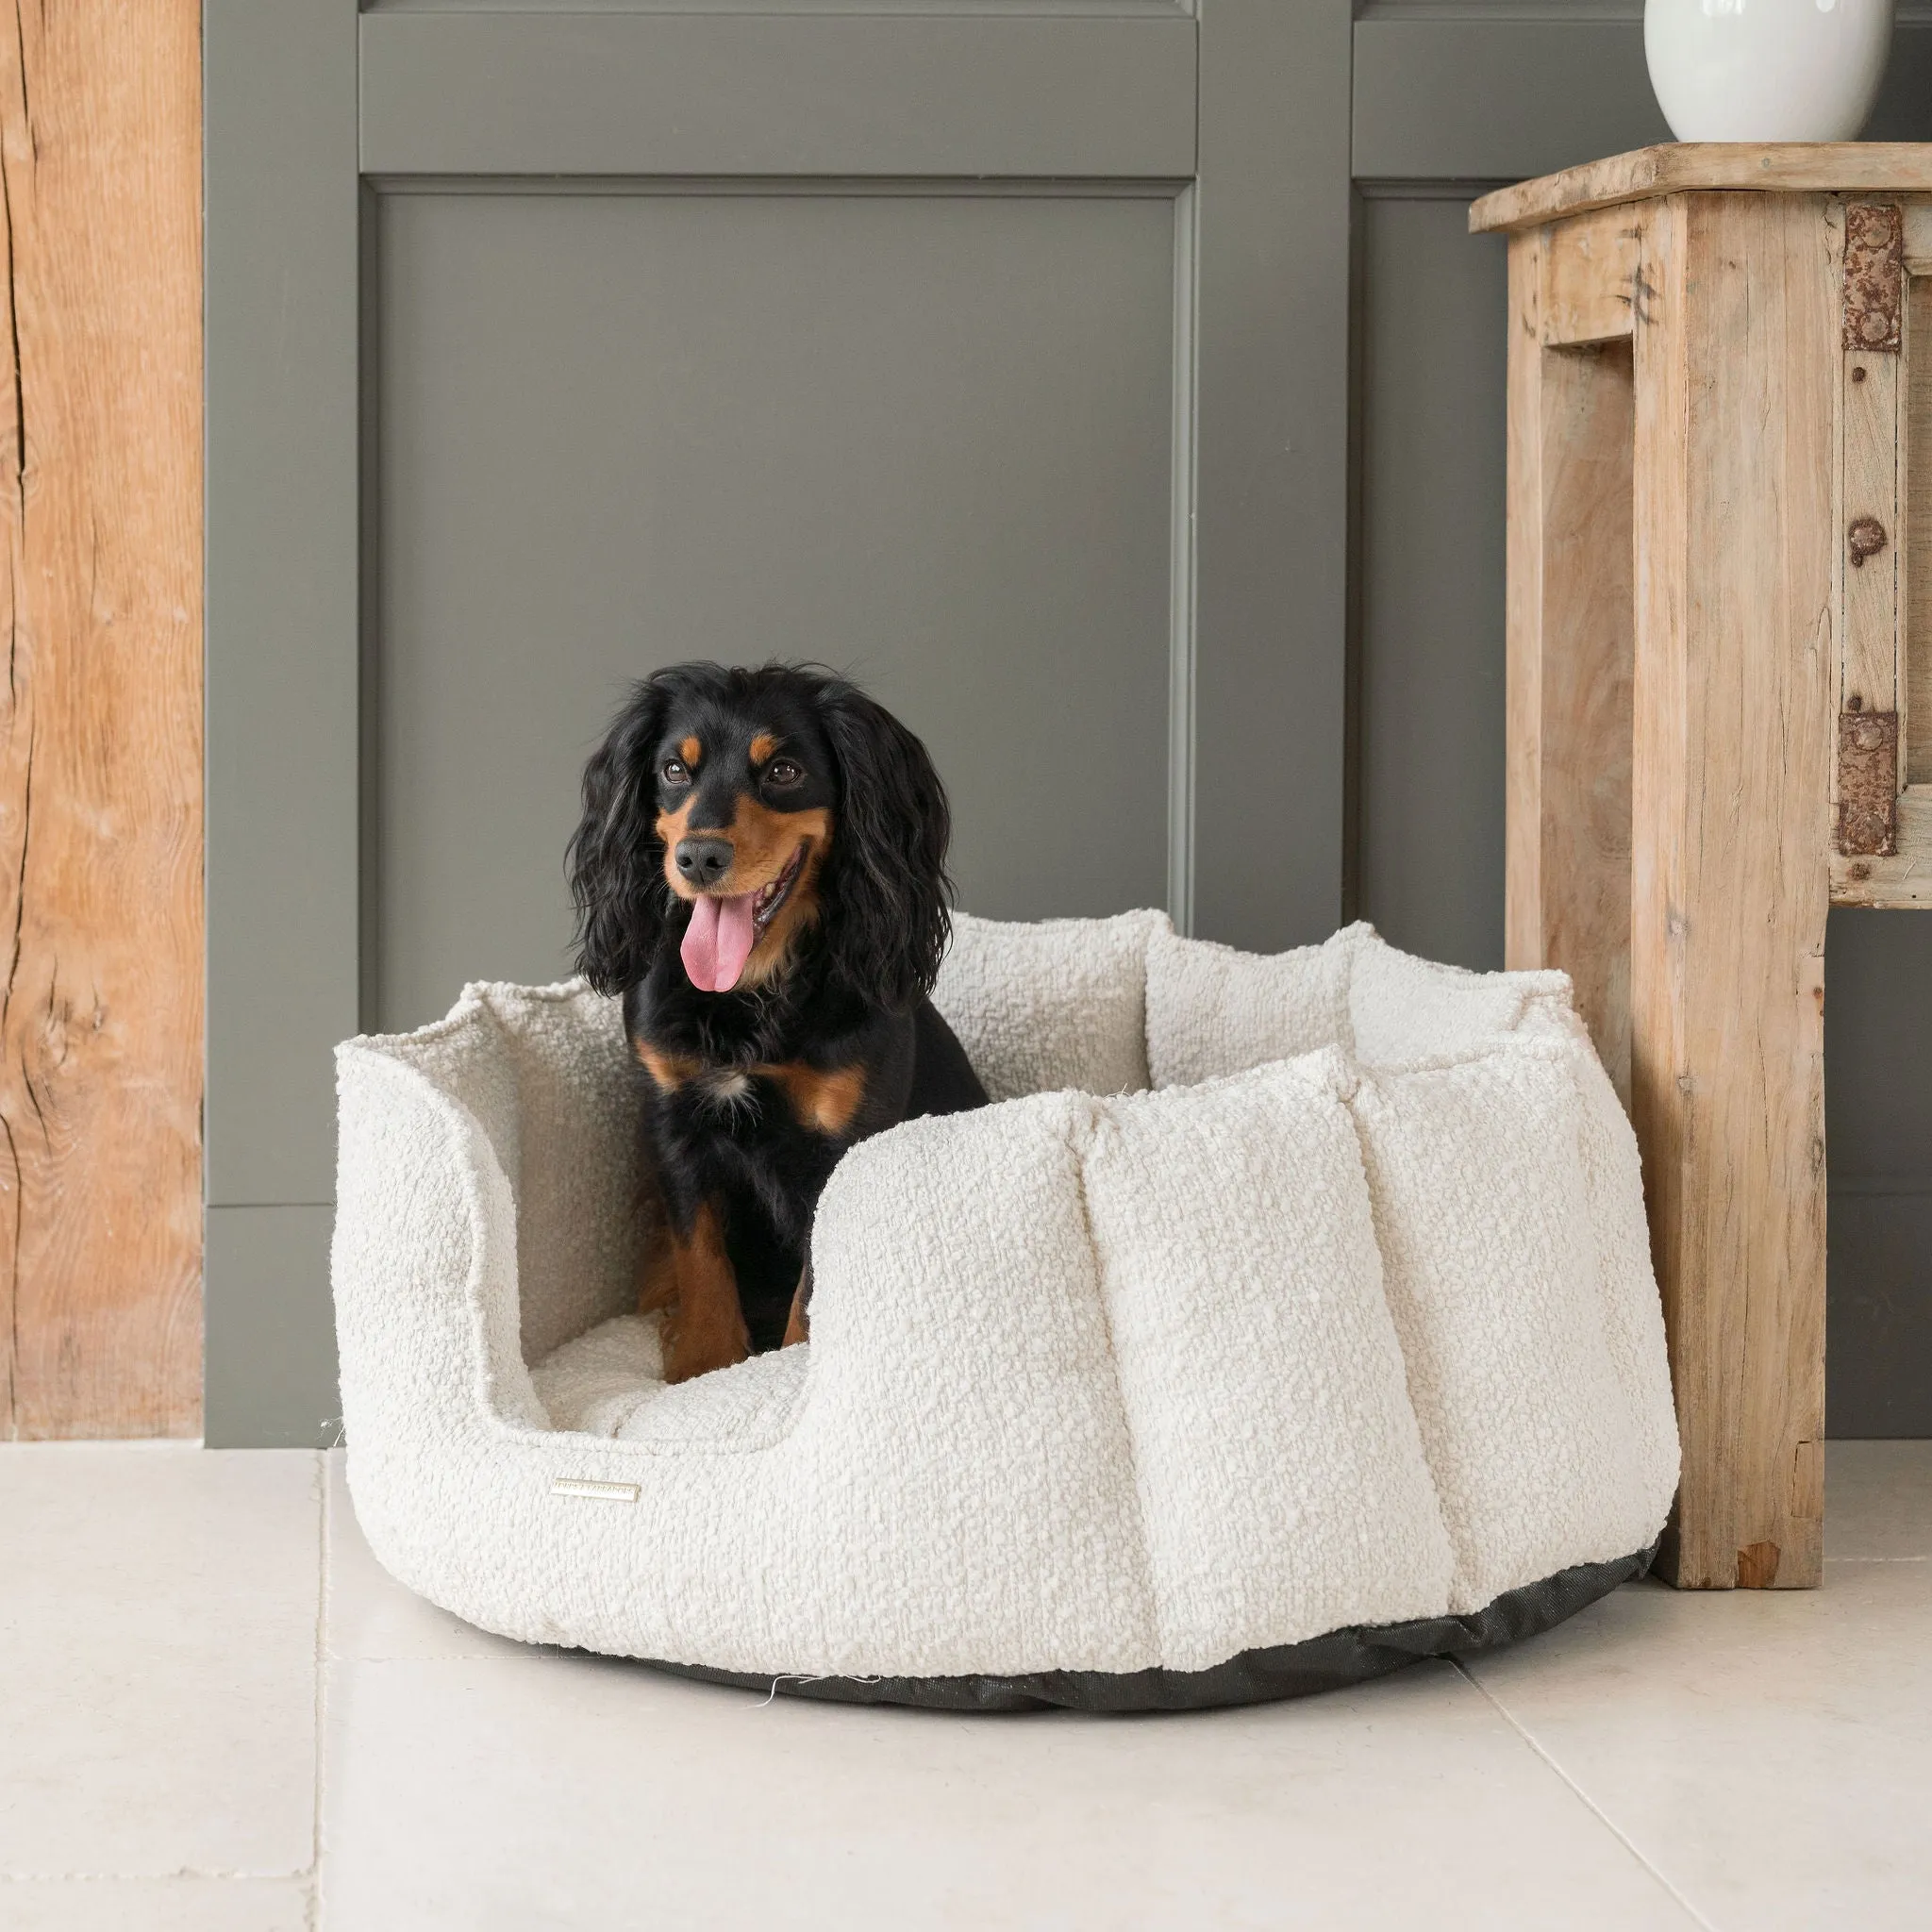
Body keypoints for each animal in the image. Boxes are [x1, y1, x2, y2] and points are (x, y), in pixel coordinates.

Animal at [559, 668, 981, 1391]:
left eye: (784, 771)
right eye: (674, 769)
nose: (699, 857)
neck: (748, 991)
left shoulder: (840, 1144)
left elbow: (812, 1287)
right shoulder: (674, 1120)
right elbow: (699, 1255)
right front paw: (705, 1364)